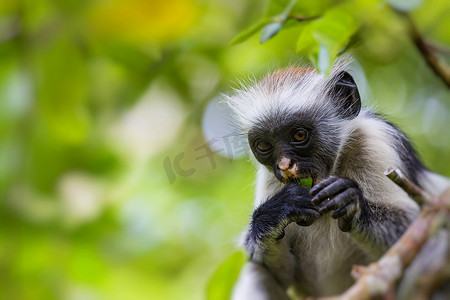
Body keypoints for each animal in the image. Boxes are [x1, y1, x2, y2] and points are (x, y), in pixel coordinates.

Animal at [224, 59, 450, 298]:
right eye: (264, 146)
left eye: (299, 135)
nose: (285, 165)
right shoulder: (269, 178)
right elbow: (279, 270)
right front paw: (275, 212)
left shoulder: (376, 142)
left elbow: (417, 230)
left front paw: (351, 202)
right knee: (254, 271)